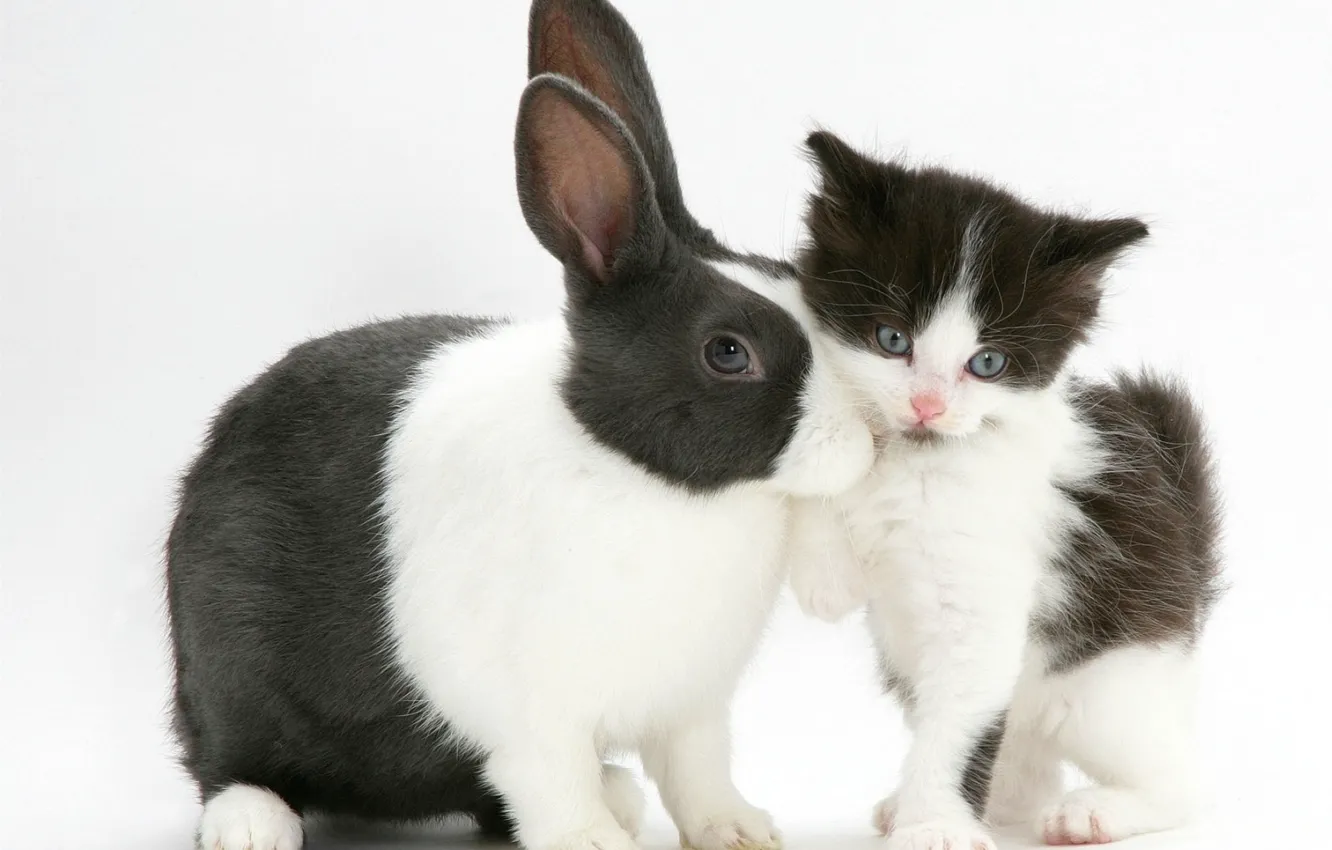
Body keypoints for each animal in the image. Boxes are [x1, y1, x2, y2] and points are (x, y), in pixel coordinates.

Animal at [165, 1, 875, 850]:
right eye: (728, 352)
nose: (868, 442)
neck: (646, 477)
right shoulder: (534, 714)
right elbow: (552, 780)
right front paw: (592, 841)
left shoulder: (692, 704)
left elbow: (698, 771)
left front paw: (738, 832)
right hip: (228, 666)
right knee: (227, 757)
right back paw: (251, 822)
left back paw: (620, 793)